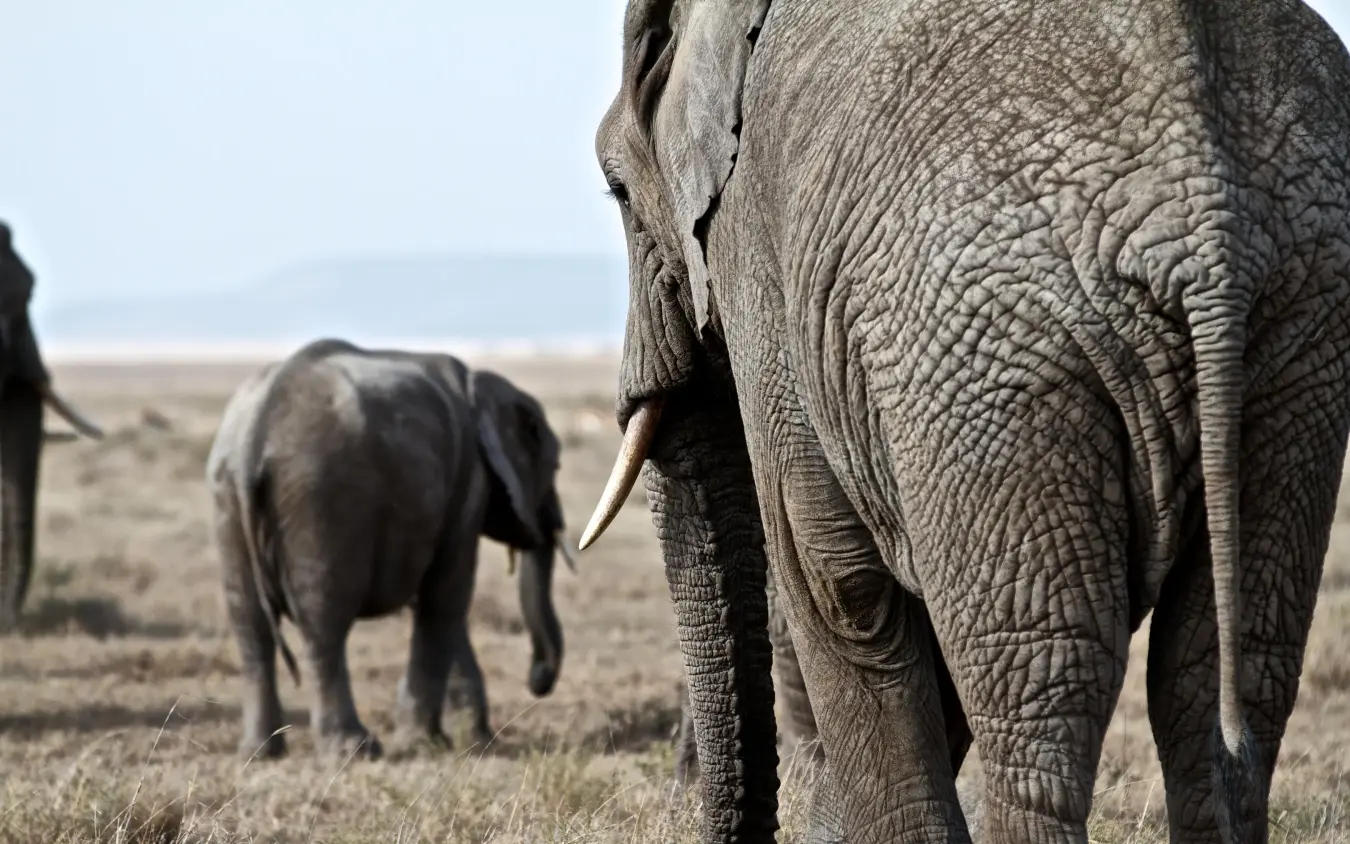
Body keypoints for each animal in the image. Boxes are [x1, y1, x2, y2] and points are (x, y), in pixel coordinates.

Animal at [205, 338, 574, 759]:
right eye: (556, 467)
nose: (538, 679)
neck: (478, 384)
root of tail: (255, 431)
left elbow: (435, 602)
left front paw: (472, 741)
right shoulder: (468, 483)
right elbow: (447, 595)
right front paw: (429, 743)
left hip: (227, 494)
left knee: (250, 625)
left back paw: (259, 753)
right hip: (321, 496)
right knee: (323, 625)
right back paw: (354, 750)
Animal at [577, 0, 1350, 842]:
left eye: (617, 190)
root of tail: (1203, 217)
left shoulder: (760, 249)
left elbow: (835, 579)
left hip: (993, 347)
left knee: (1040, 692)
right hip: (1297, 333)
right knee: (1218, 682)